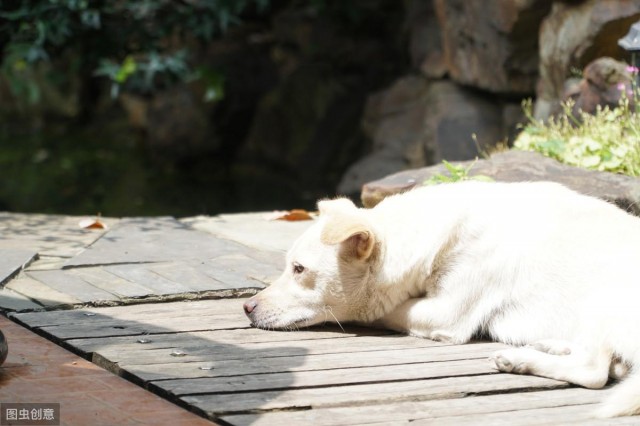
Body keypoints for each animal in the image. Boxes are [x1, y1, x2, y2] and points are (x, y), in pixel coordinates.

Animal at [242, 181, 640, 418]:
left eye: (299, 269)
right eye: (288, 266)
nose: (246, 308)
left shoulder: (444, 313)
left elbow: (380, 311)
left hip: (604, 298)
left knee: (594, 371)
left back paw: (520, 359)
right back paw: (546, 346)